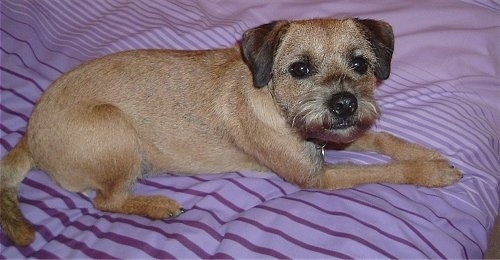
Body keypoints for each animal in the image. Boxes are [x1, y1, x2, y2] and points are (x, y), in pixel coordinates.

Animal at [0, 18, 462, 246]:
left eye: (360, 64)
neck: (274, 100)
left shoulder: (335, 133)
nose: (345, 104)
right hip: (115, 129)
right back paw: (158, 205)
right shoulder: (319, 177)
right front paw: (432, 171)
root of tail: (30, 133)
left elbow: (384, 140)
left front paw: (424, 151)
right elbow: (381, 170)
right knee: (106, 200)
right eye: (300, 69)